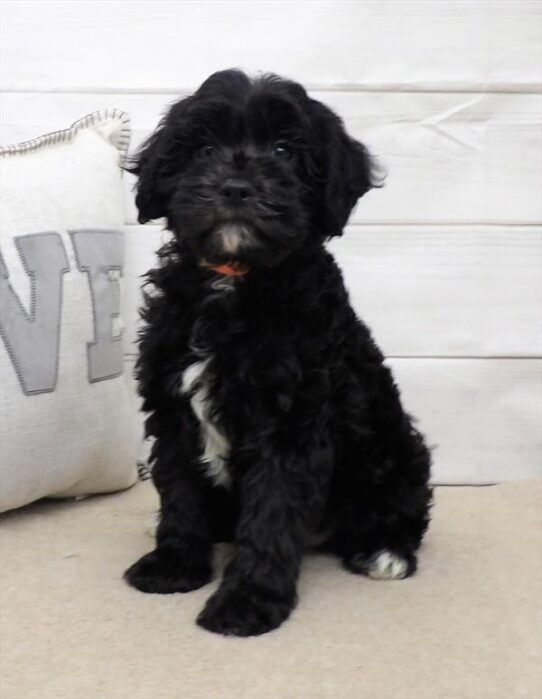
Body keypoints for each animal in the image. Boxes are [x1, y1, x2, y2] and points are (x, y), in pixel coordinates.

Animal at [124, 68, 434, 636]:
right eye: (203, 149)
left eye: (285, 150)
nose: (236, 187)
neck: (234, 280)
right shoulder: (172, 405)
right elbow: (179, 491)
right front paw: (174, 563)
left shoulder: (292, 424)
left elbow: (272, 513)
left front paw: (247, 602)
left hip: (398, 450)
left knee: (406, 507)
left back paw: (385, 552)